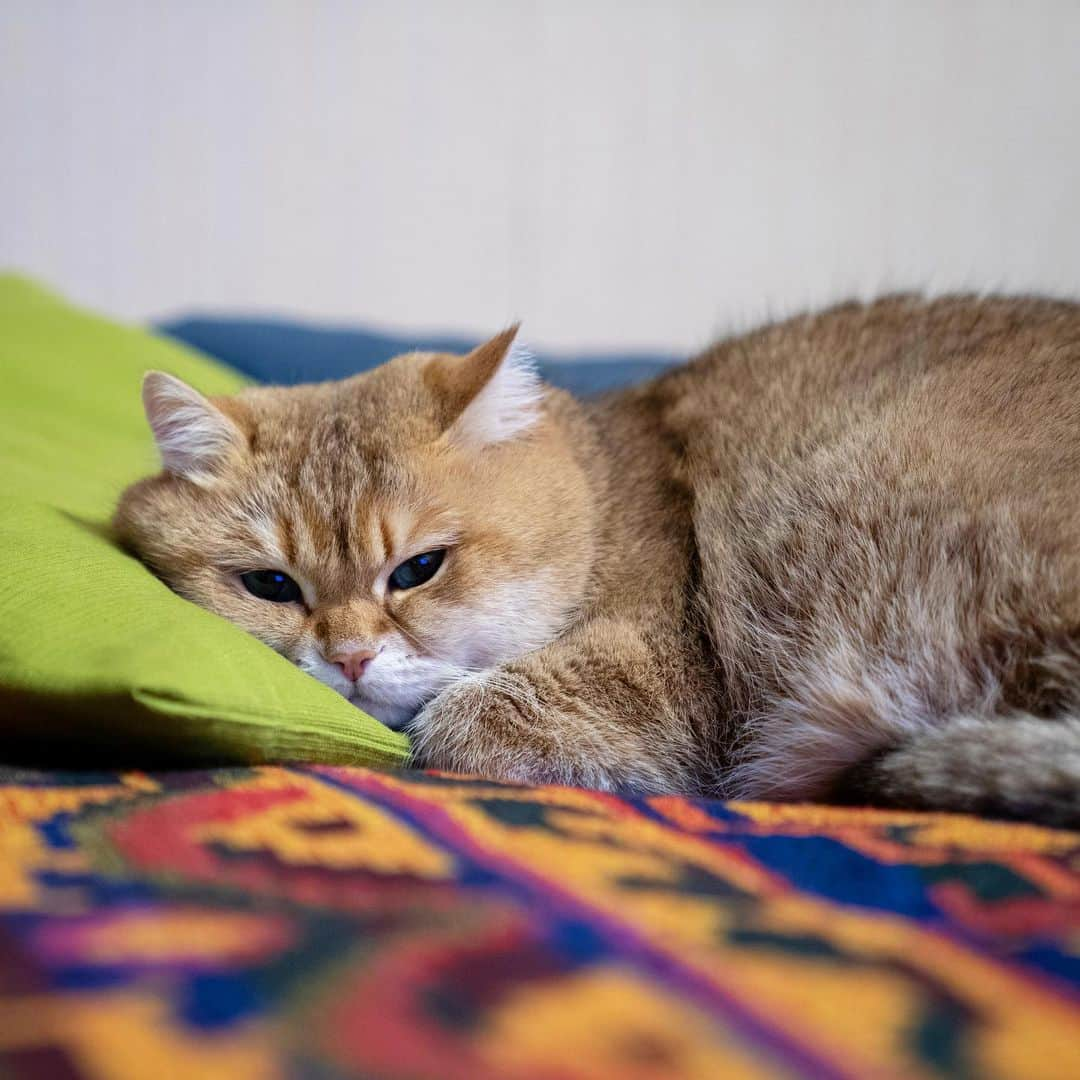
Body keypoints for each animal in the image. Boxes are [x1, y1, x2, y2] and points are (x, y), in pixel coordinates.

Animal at [113, 295, 1080, 825]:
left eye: (419, 569)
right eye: (271, 585)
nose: (348, 658)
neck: (608, 490)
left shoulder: (666, 684)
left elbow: (462, 717)